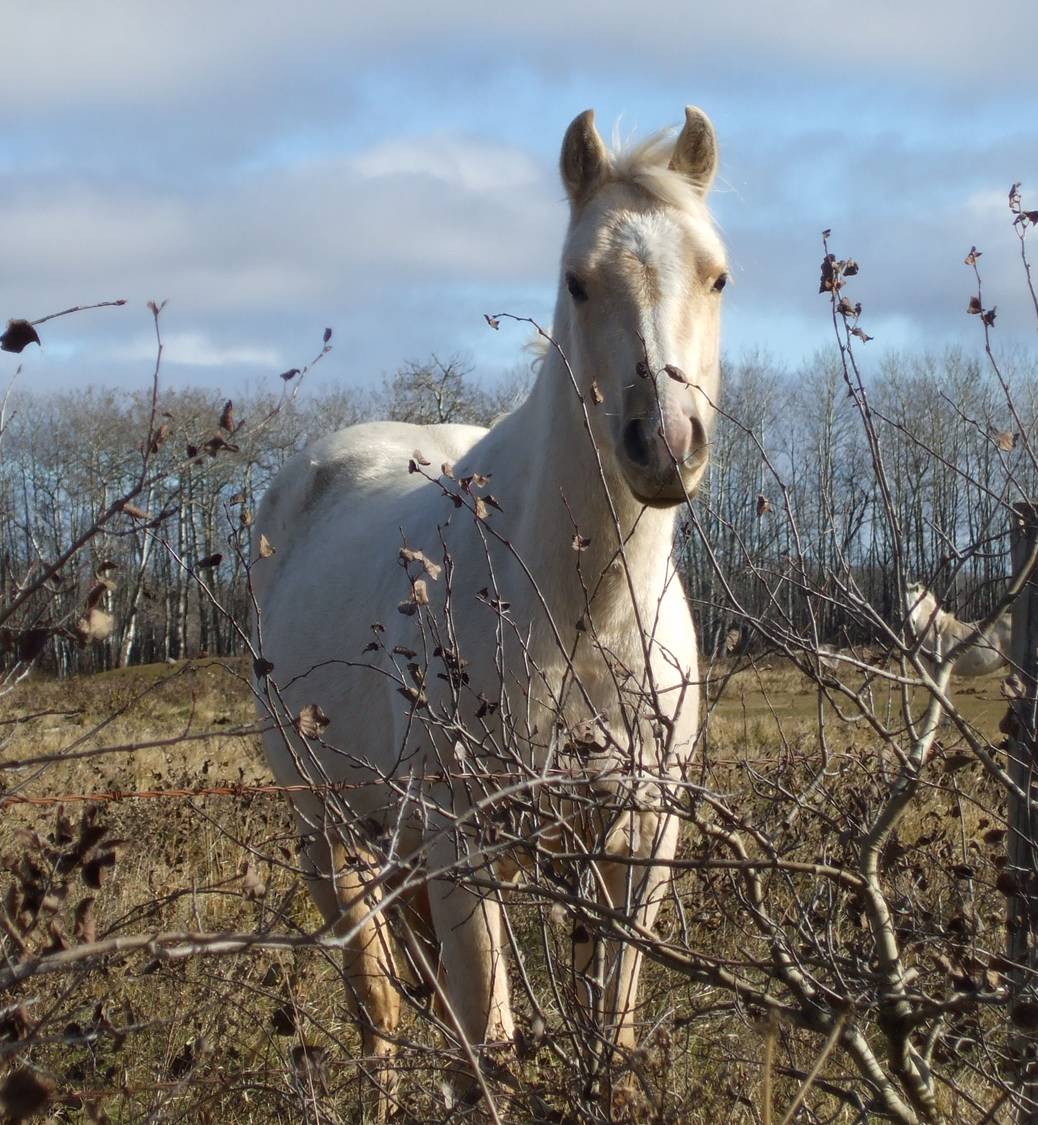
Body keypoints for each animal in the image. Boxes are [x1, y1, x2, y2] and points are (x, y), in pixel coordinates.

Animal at [254, 107, 724, 1116]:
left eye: (717, 274)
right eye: (578, 280)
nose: (664, 445)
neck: (584, 623)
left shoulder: (637, 842)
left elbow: (610, 1041)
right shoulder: (461, 847)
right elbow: (491, 1052)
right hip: (330, 836)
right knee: (380, 1009)